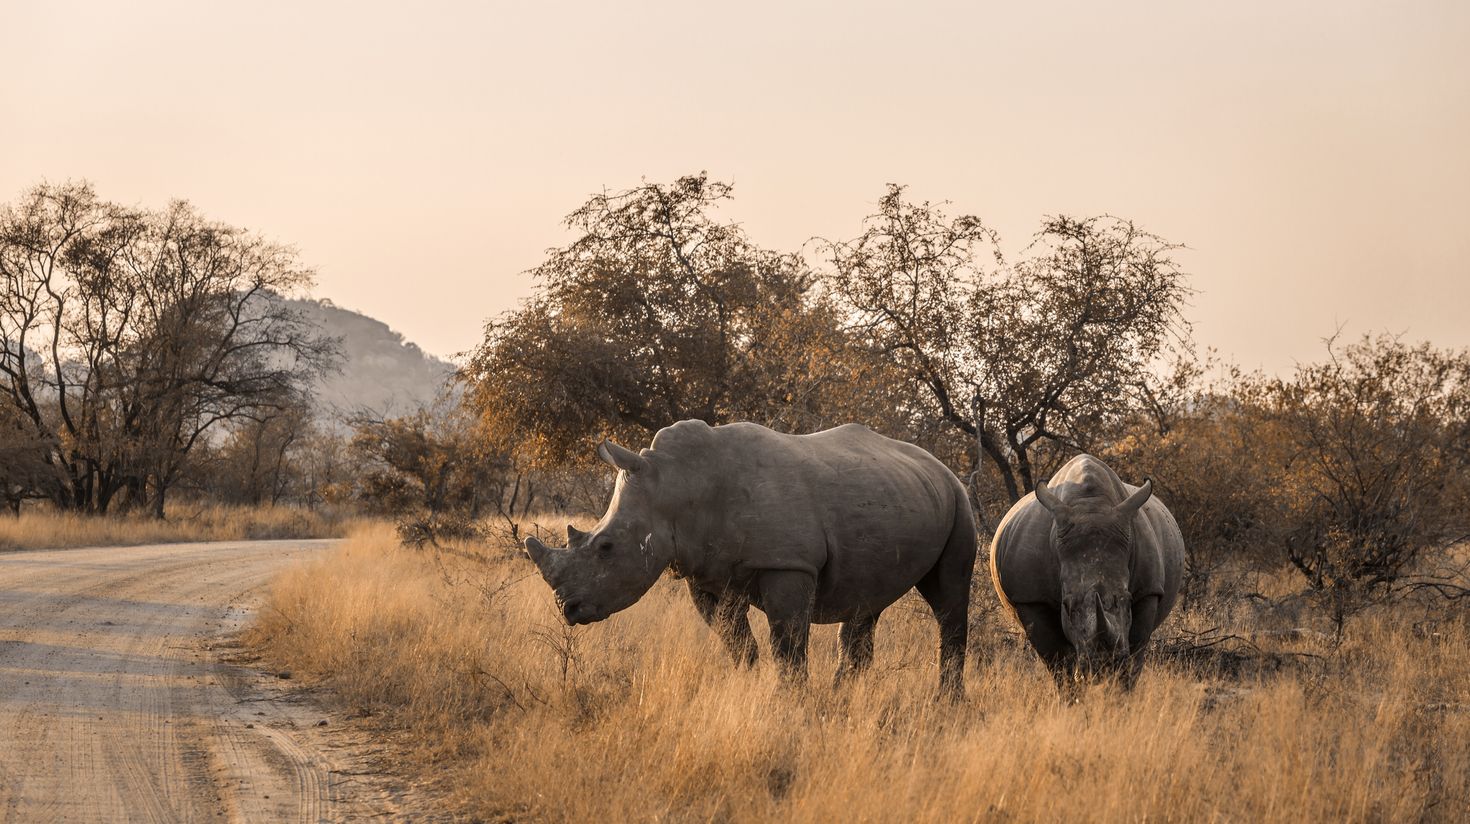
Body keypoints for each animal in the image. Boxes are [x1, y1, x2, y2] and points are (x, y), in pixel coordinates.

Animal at [524, 420, 978, 698]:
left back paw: (946, 703)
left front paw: (792, 702)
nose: (568, 609)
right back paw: (844, 695)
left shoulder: (787, 564)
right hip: (896, 494)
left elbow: (787, 643)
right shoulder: (704, 573)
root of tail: (940, 464)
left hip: (958, 501)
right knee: (865, 602)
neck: (677, 485)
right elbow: (735, 640)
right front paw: (747, 686)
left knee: (948, 596)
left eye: (606, 548)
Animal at [989, 454, 1184, 693]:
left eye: (1128, 600)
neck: (1091, 505)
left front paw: (1119, 695)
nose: (1104, 666)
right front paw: (1073, 697)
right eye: (1067, 606)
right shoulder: (1030, 597)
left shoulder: (1148, 590)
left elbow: (1136, 651)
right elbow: (1058, 660)